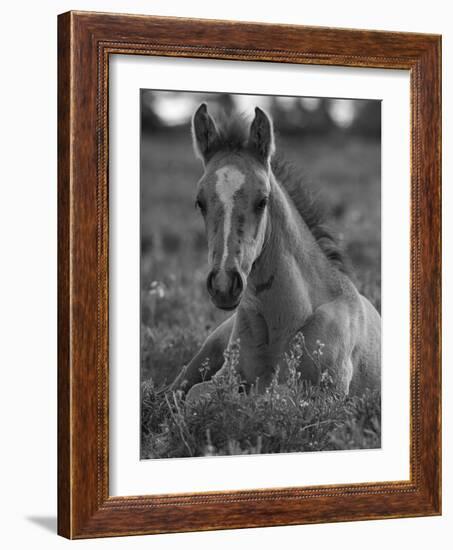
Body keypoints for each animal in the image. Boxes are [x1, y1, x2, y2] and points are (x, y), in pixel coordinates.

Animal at [171, 103, 380, 402]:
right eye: (200, 202)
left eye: (263, 200)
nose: (224, 284)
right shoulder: (224, 376)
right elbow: (197, 396)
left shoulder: (328, 394)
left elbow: (268, 397)